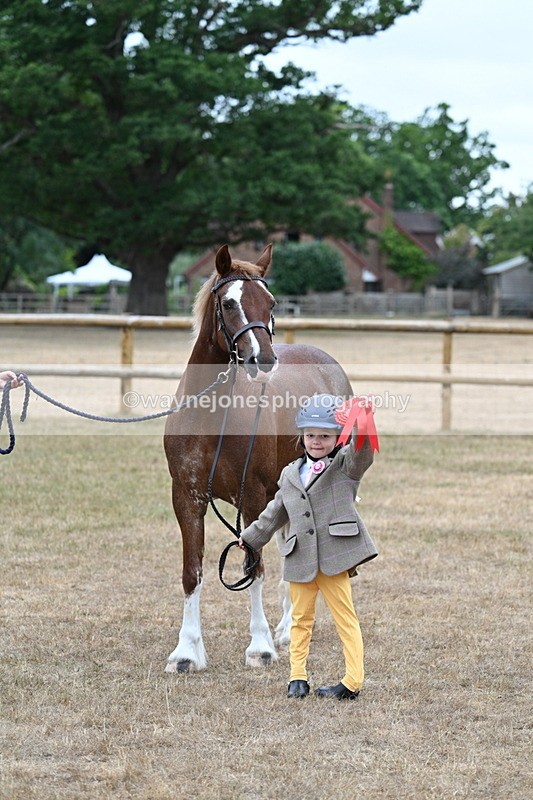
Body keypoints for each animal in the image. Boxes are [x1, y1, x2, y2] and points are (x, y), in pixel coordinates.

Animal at [163, 243, 352, 672]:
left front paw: (260, 646)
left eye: (270, 302)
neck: (212, 418)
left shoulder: (250, 498)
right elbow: (191, 571)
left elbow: (255, 567)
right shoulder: (187, 498)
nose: (262, 359)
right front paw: (187, 652)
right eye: (229, 303)